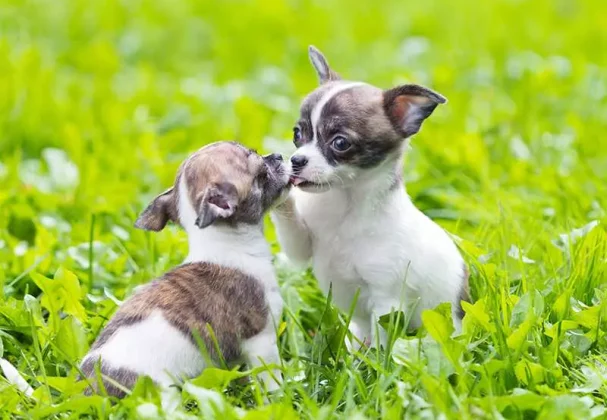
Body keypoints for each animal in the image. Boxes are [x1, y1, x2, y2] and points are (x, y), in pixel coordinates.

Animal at [80, 143, 290, 402]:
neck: (224, 243)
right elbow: (271, 380)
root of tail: (90, 390)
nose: (278, 155)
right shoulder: (262, 341)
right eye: (262, 174)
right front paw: (282, 398)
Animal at [272, 46, 470, 348]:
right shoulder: (301, 245)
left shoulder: (386, 299)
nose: (296, 160)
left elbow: (381, 342)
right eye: (297, 133)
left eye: (340, 143)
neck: (343, 203)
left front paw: (373, 360)